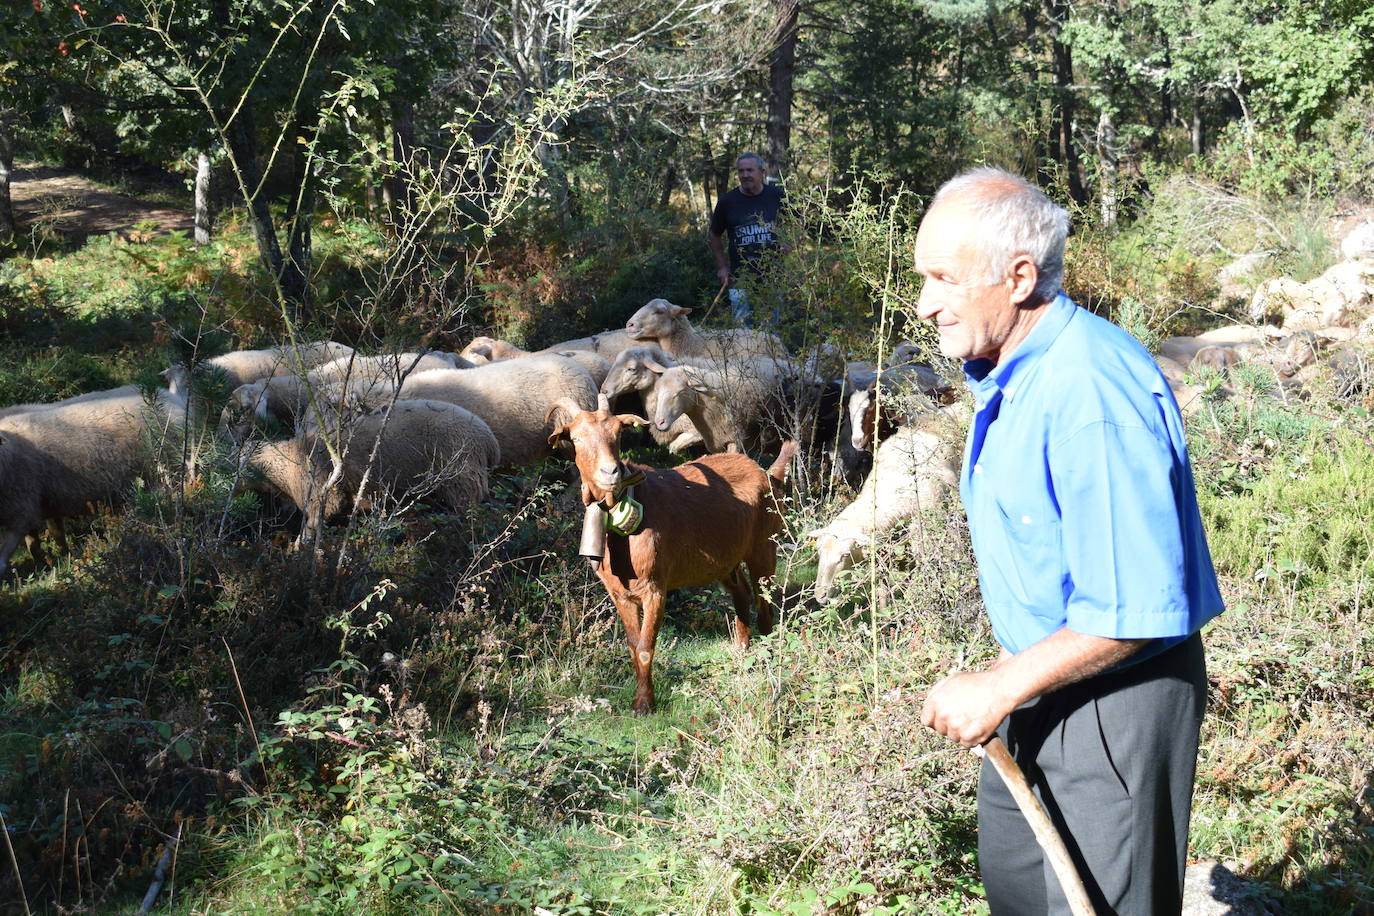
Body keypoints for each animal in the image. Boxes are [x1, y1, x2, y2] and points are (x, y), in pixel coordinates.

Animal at [0, 390, 190, 576]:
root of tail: (175, 399)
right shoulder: (41, 504)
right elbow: (47, 538)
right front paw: (57, 560)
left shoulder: (21, 511)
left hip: (168, 470)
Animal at [247, 401, 500, 543]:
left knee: (470, 513)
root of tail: (489, 439)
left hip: (462, 478)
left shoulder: (323, 495)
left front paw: (299, 547)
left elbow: (313, 525)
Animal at [546, 398, 802, 714]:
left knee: (764, 602)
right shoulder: (620, 594)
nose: (611, 472)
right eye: (577, 438)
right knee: (741, 594)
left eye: (618, 434)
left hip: (764, 546)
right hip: (725, 560)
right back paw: (743, 652)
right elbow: (633, 645)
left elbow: (645, 648)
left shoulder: (655, 588)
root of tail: (770, 474)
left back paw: (767, 656)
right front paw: (639, 697)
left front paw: (644, 704)